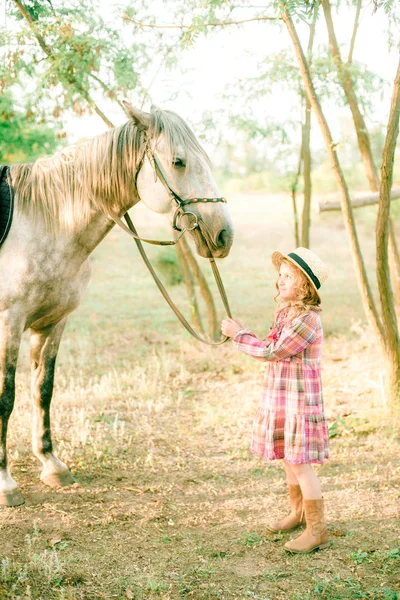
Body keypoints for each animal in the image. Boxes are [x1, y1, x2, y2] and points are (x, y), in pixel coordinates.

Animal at [0, 104, 233, 506]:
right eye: (179, 161)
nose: (223, 235)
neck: (44, 222)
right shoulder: (8, 323)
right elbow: (5, 397)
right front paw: (4, 482)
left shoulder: (53, 323)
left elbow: (42, 389)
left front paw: (51, 464)